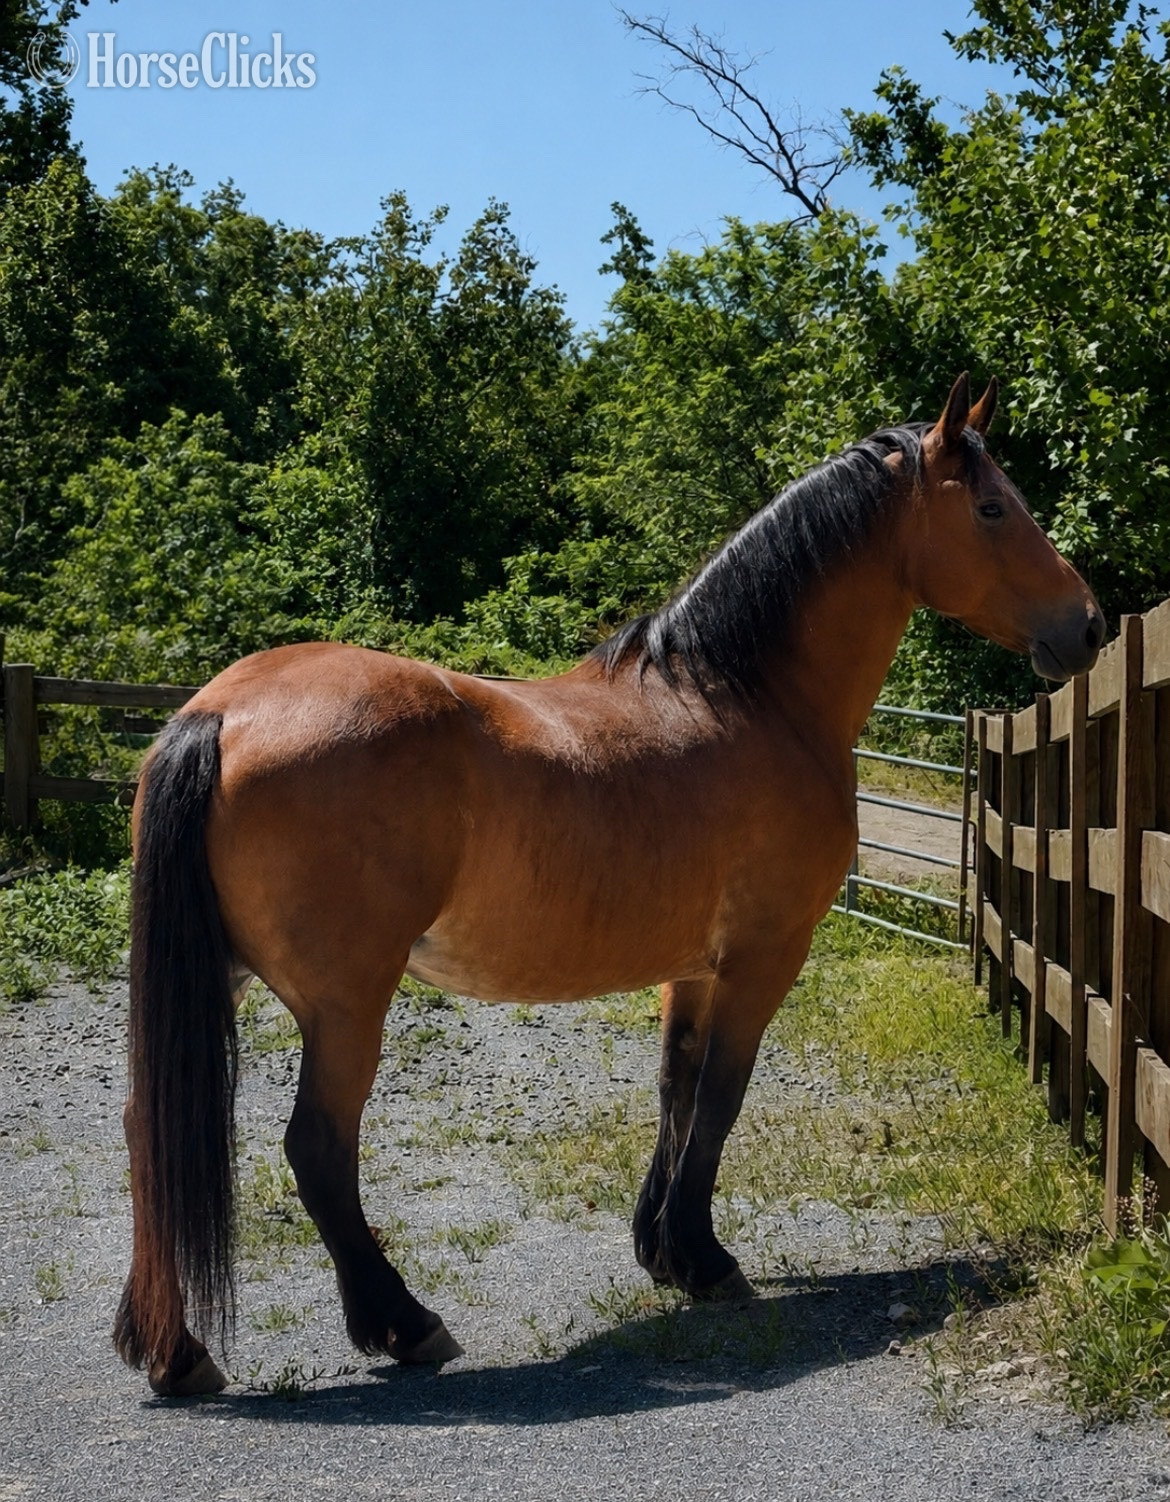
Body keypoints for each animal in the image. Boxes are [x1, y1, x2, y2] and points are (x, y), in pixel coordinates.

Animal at [114, 374, 1105, 1396]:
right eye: (991, 508)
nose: (1089, 624)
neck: (749, 698)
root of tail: (220, 713)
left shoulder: (693, 968)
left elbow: (676, 1092)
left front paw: (662, 1250)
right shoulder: (763, 958)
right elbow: (720, 1100)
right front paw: (706, 1263)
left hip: (221, 980)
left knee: (152, 1135)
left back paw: (175, 1354)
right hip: (347, 1004)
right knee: (316, 1149)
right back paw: (403, 1325)